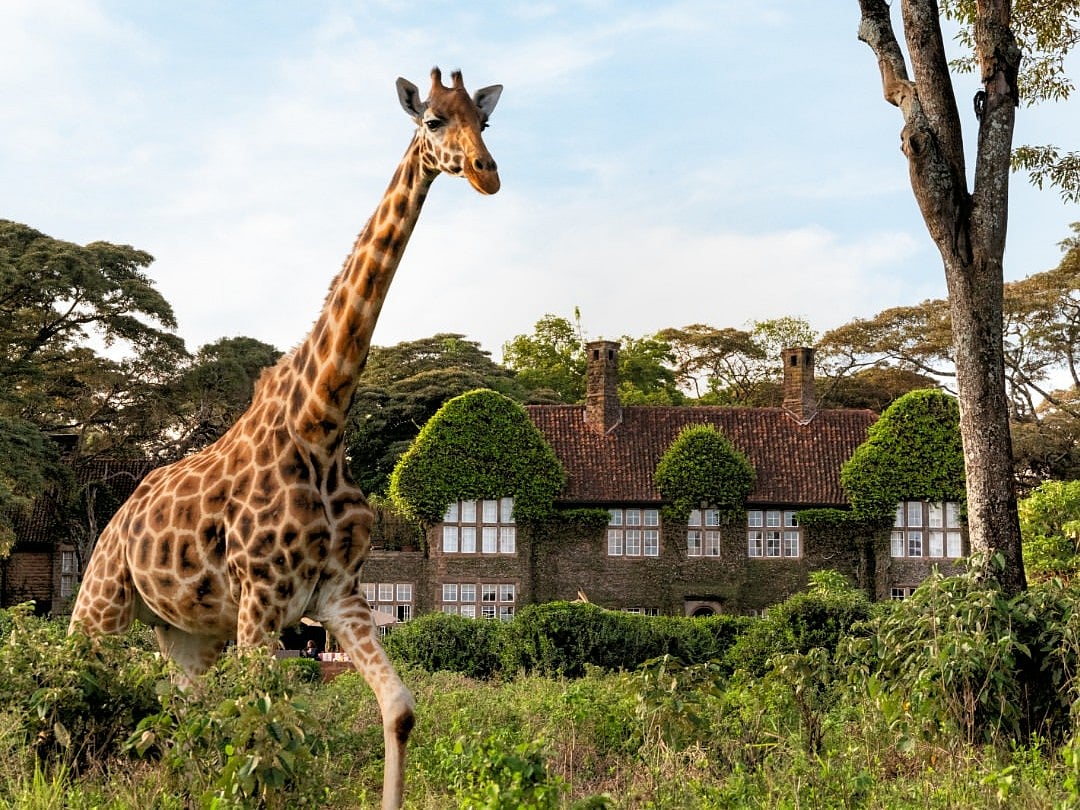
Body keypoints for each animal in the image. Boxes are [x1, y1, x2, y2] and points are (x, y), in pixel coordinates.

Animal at [69, 67, 502, 810]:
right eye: (434, 122)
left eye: (487, 122)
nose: (486, 172)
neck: (322, 421)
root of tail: (119, 513)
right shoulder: (261, 602)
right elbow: (258, 730)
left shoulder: (337, 594)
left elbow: (399, 710)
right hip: (101, 602)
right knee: (77, 678)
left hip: (187, 634)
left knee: (179, 708)